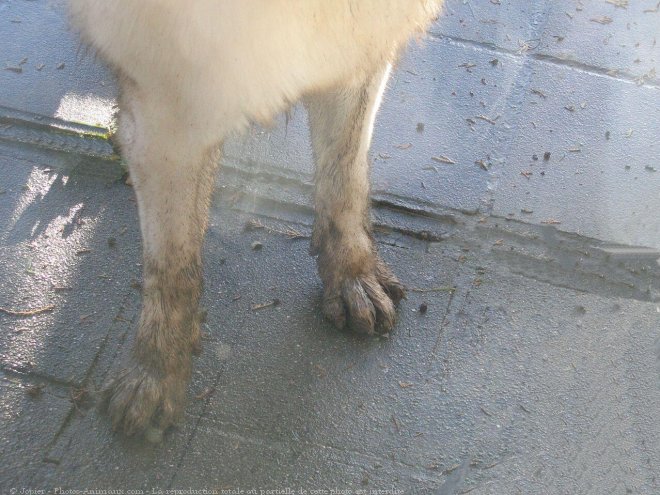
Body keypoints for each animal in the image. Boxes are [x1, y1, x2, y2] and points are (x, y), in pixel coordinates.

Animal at [68, 0, 444, 438]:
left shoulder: (357, 39)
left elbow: (345, 172)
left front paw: (353, 274)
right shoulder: (165, 94)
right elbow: (172, 262)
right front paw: (156, 370)